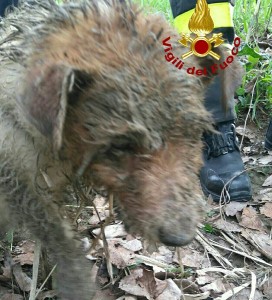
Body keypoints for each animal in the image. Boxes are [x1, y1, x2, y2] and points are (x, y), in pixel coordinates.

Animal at [0, 0, 242, 298]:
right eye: (121, 144)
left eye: (194, 131)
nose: (181, 237)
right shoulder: (18, 179)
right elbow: (54, 231)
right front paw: (74, 282)